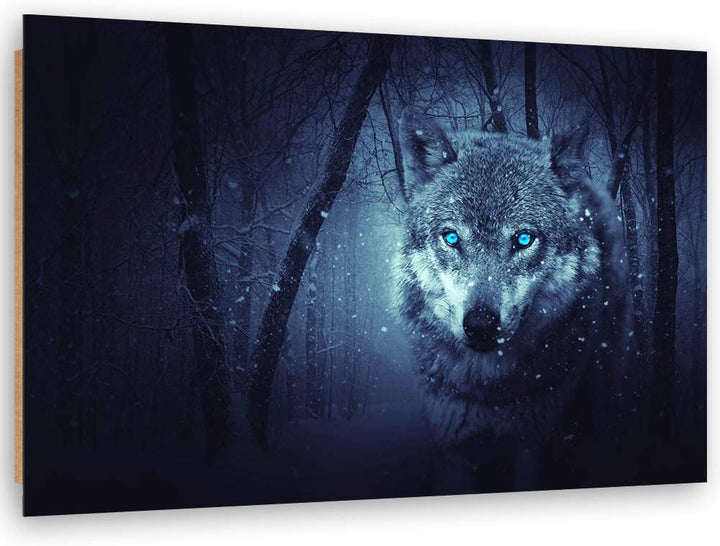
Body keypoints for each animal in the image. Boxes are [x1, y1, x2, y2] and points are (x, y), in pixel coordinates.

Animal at [394, 110, 631, 490]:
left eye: (523, 239)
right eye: (451, 237)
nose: (480, 325)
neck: (489, 391)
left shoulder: (533, 445)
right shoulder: (453, 449)